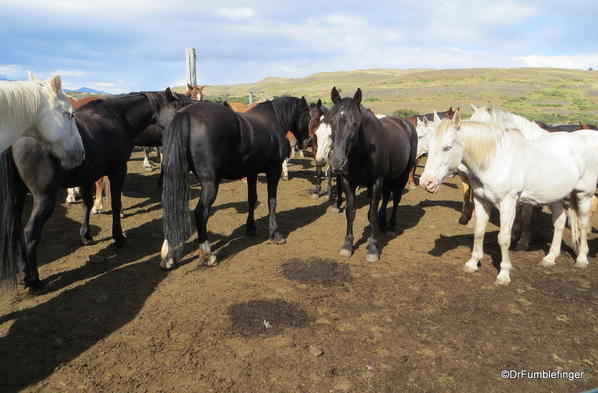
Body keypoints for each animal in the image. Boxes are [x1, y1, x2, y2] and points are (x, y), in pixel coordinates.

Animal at [12, 89, 192, 290]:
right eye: (177, 111)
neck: (118, 117)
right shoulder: (118, 169)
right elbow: (115, 203)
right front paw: (119, 237)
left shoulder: (88, 176)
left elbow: (87, 204)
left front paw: (86, 236)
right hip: (44, 197)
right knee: (30, 232)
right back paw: (33, 280)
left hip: (19, 194)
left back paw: (22, 268)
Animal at [161, 95, 310, 270]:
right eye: (308, 115)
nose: (306, 142)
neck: (274, 119)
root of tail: (185, 114)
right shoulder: (274, 170)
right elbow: (272, 201)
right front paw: (275, 234)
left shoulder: (252, 172)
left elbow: (252, 199)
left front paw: (251, 228)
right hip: (210, 184)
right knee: (200, 213)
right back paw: (208, 256)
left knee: (172, 207)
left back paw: (168, 256)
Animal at [328, 87, 418, 262]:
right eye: (331, 122)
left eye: (354, 123)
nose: (336, 161)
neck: (361, 153)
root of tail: (406, 123)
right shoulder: (348, 182)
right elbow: (350, 213)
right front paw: (347, 245)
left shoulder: (376, 182)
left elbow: (372, 215)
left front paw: (373, 247)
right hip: (389, 179)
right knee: (386, 197)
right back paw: (383, 223)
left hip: (402, 176)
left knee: (395, 199)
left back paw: (390, 226)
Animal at [422, 110, 598, 284]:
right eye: (429, 146)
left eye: (447, 147)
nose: (427, 182)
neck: (495, 160)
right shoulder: (481, 200)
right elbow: (479, 232)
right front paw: (472, 263)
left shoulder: (508, 203)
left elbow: (504, 238)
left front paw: (504, 274)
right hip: (556, 196)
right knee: (560, 222)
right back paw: (550, 257)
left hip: (584, 195)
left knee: (583, 224)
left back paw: (582, 258)